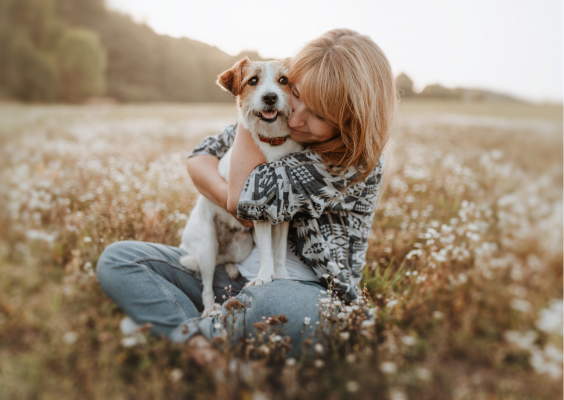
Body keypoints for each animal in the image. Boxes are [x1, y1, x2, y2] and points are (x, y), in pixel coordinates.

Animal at [181, 57, 304, 318]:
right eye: (253, 81)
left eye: (284, 80)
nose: (270, 97)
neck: (273, 142)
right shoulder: (258, 206)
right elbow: (267, 249)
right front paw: (264, 277)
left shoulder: (283, 213)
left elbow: (279, 251)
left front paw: (282, 276)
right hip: (206, 244)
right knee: (206, 282)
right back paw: (210, 307)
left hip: (242, 246)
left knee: (225, 259)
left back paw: (231, 268)